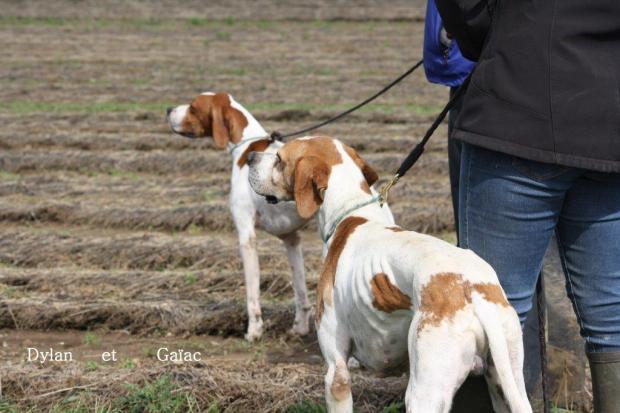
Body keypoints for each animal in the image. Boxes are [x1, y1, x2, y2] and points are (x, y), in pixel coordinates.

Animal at [166, 93, 312, 342]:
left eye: (193, 107)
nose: (168, 109)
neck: (245, 145)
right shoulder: (291, 238)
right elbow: (300, 291)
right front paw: (300, 328)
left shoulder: (247, 236)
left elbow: (252, 295)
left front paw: (254, 331)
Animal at [247, 136, 532, 412]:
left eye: (279, 158)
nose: (250, 157)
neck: (352, 213)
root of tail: (470, 290)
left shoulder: (337, 373)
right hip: (507, 381)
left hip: (424, 394)